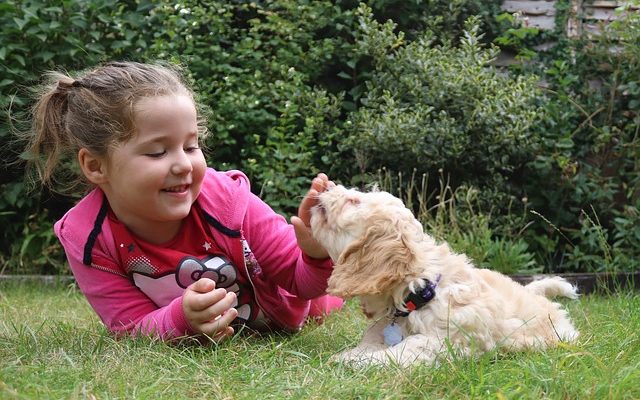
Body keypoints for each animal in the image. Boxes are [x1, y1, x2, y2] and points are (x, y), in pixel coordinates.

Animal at [310, 186, 580, 368]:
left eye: (354, 200)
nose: (326, 186)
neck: (419, 289)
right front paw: (353, 354)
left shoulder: (449, 341)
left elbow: (409, 347)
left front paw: (359, 361)